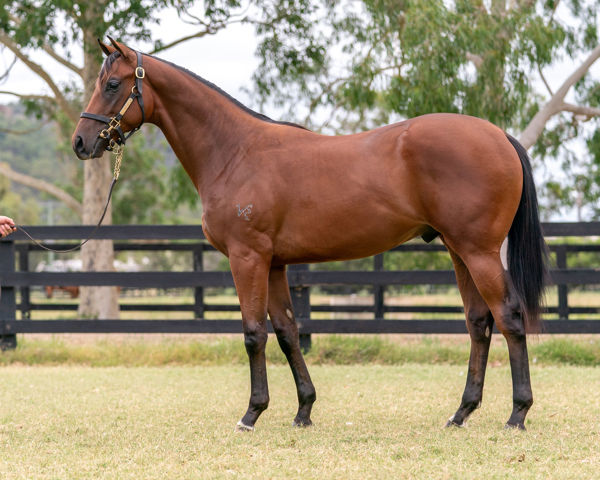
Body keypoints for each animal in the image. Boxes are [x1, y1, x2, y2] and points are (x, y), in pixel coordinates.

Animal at [71, 38, 548, 432]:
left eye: (112, 84)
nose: (80, 142)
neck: (235, 151)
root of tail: (499, 135)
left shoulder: (247, 258)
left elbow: (253, 333)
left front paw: (251, 414)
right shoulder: (275, 264)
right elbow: (286, 331)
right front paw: (303, 410)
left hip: (478, 251)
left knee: (509, 316)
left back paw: (518, 413)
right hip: (458, 251)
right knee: (479, 322)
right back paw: (461, 413)